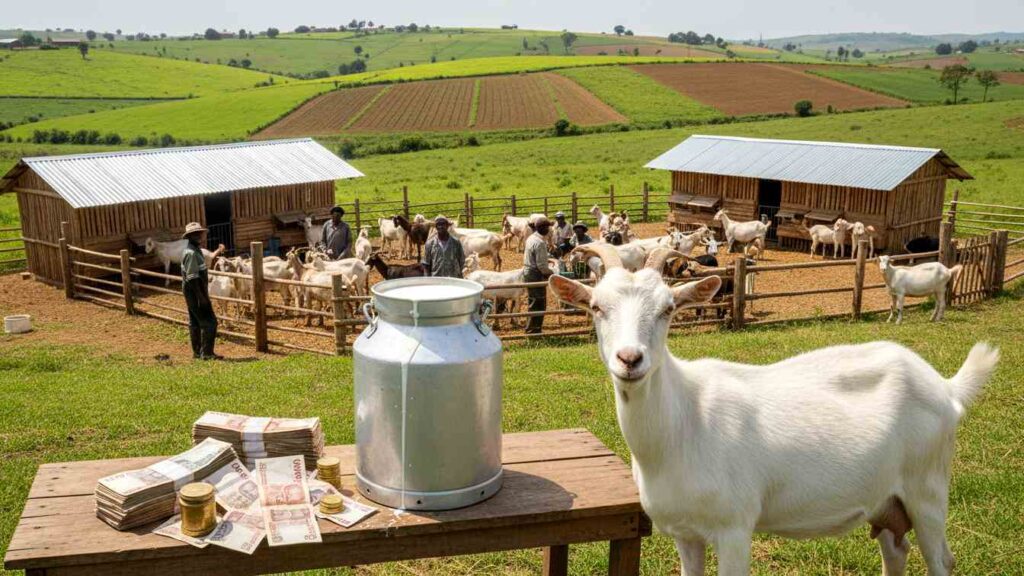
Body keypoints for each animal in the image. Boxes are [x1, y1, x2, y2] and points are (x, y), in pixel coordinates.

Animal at [549, 244, 997, 576]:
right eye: (596, 307)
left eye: (668, 309)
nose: (630, 359)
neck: (684, 423)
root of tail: (945, 386)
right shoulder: (684, 533)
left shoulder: (734, 527)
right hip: (887, 500)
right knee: (895, 551)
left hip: (928, 489)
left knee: (942, 560)